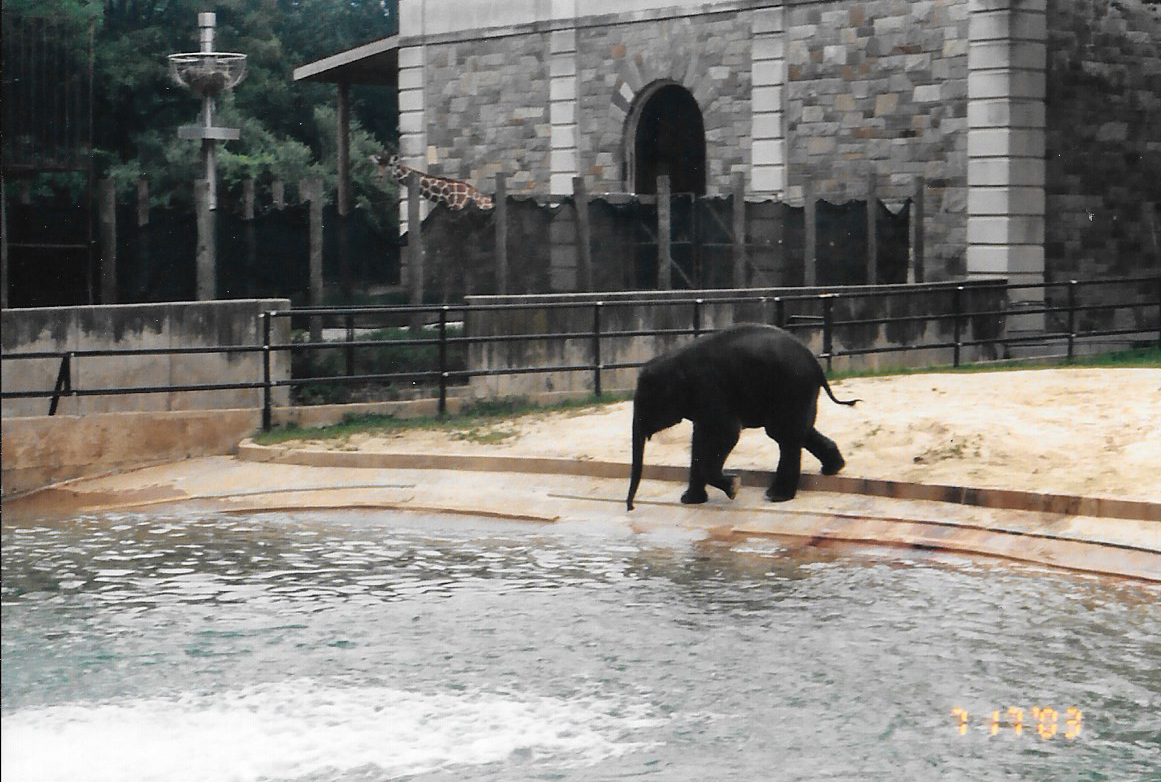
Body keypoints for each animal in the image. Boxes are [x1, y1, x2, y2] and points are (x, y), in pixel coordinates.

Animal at [626, 323, 859, 511]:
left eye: (645, 404)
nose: (630, 508)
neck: (675, 360)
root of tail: (816, 363)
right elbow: (700, 438)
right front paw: (690, 500)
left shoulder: (709, 388)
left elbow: (727, 434)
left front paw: (734, 487)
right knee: (797, 430)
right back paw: (833, 468)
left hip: (792, 387)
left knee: (784, 434)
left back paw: (777, 496)